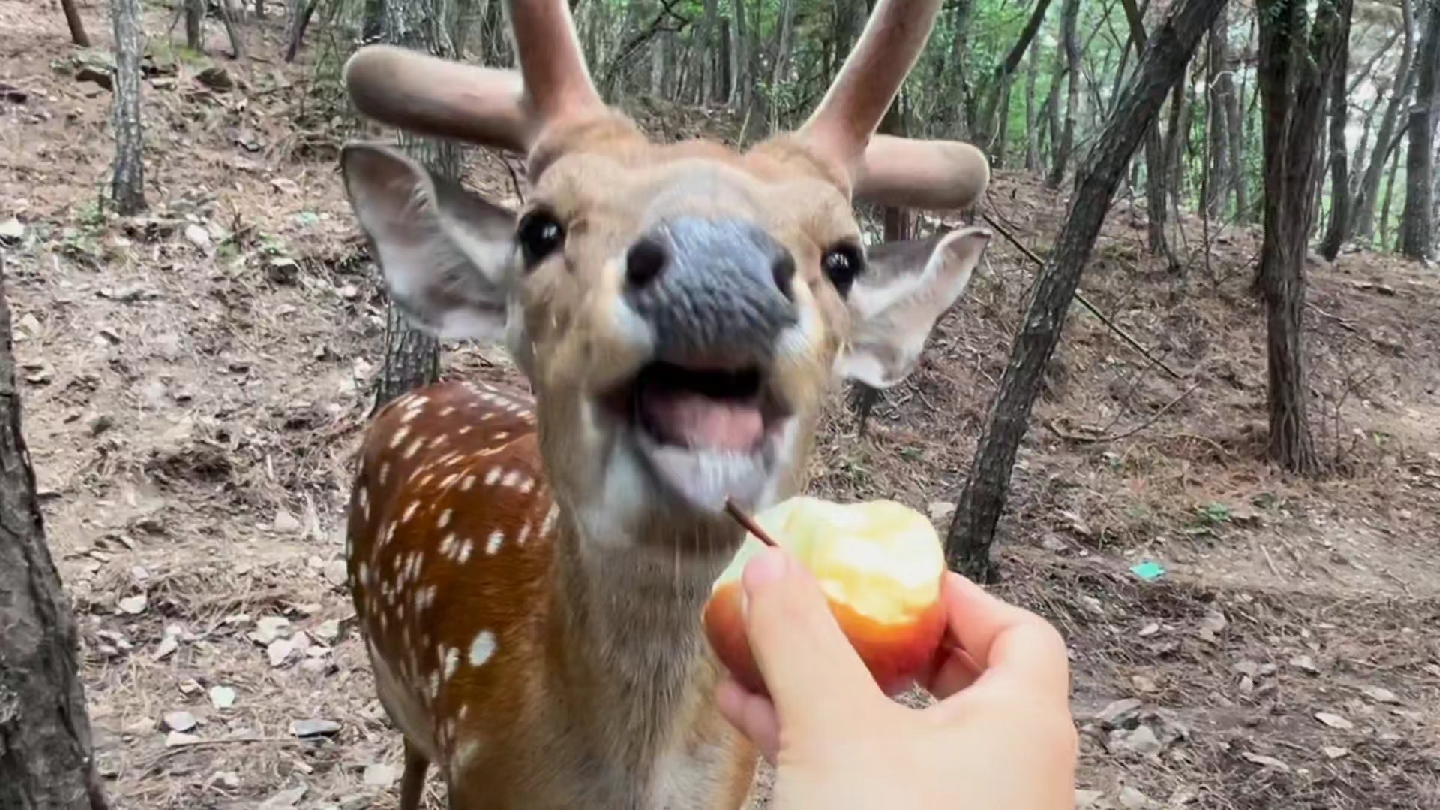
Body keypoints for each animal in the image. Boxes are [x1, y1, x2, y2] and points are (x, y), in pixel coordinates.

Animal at [335, 3, 990, 801]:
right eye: (539, 227)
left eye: (844, 258)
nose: (717, 268)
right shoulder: (472, 768)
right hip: (388, 672)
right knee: (408, 759)